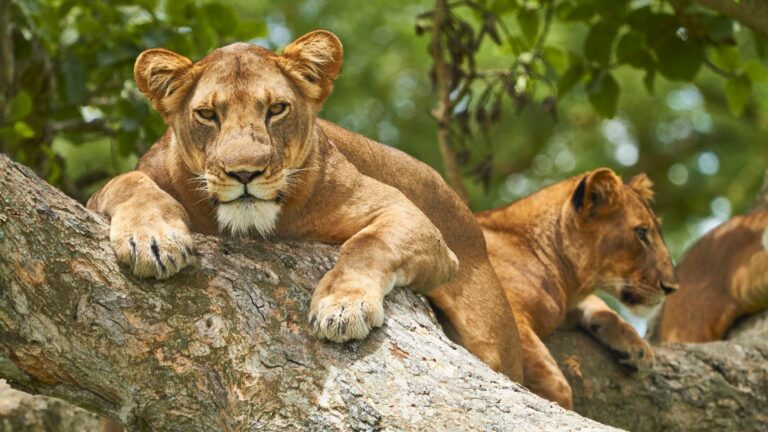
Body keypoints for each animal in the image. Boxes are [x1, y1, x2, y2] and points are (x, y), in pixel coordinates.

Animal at [87, 30, 524, 382]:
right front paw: (153, 239)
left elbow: (368, 244)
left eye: (276, 109)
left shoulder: (409, 216)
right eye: (208, 114)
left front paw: (342, 305)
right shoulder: (125, 184)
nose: (244, 173)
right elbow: (126, 182)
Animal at [475, 168, 678, 408]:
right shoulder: (507, 311)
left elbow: (599, 305)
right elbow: (555, 383)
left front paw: (639, 350)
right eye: (641, 232)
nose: (672, 287)